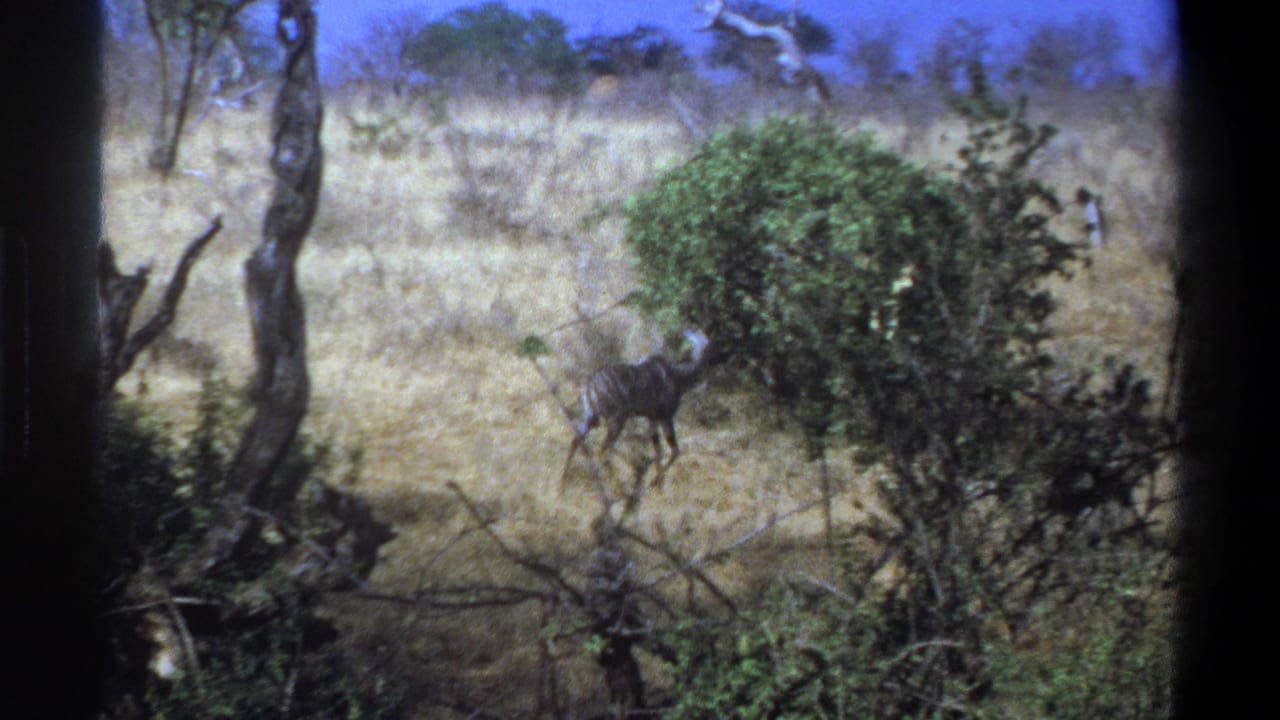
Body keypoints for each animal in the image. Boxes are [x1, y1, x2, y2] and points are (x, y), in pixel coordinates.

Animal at [560, 330, 710, 492]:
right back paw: (613, 484)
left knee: (576, 441)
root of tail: (590, 387)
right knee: (603, 449)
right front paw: (655, 483)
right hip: (616, 420)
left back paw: (563, 484)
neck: (679, 376)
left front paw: (657, 484)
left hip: (591, 417)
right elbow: (674, 450)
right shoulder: (665, 416)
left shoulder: (653, 418)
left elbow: (658, 448)